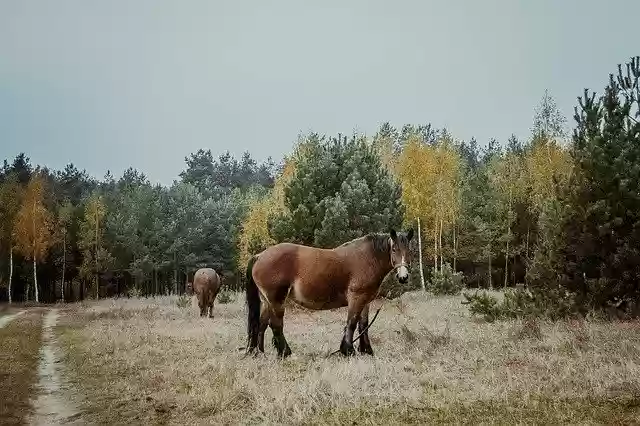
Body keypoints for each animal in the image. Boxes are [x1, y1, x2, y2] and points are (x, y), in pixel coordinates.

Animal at [244, 227, 414, 358]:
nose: (403, 277)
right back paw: (285, 353)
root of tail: (259, 256)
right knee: (276, 325)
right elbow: (351, 323)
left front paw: (367, 351)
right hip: (276, 300)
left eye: (409, 250)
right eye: (394, 249)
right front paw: (348, 350)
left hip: (267, 301)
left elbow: (363, 325)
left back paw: (260, 352)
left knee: (262, 324)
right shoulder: (356, 298)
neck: (367, 258)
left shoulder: (366, 301)